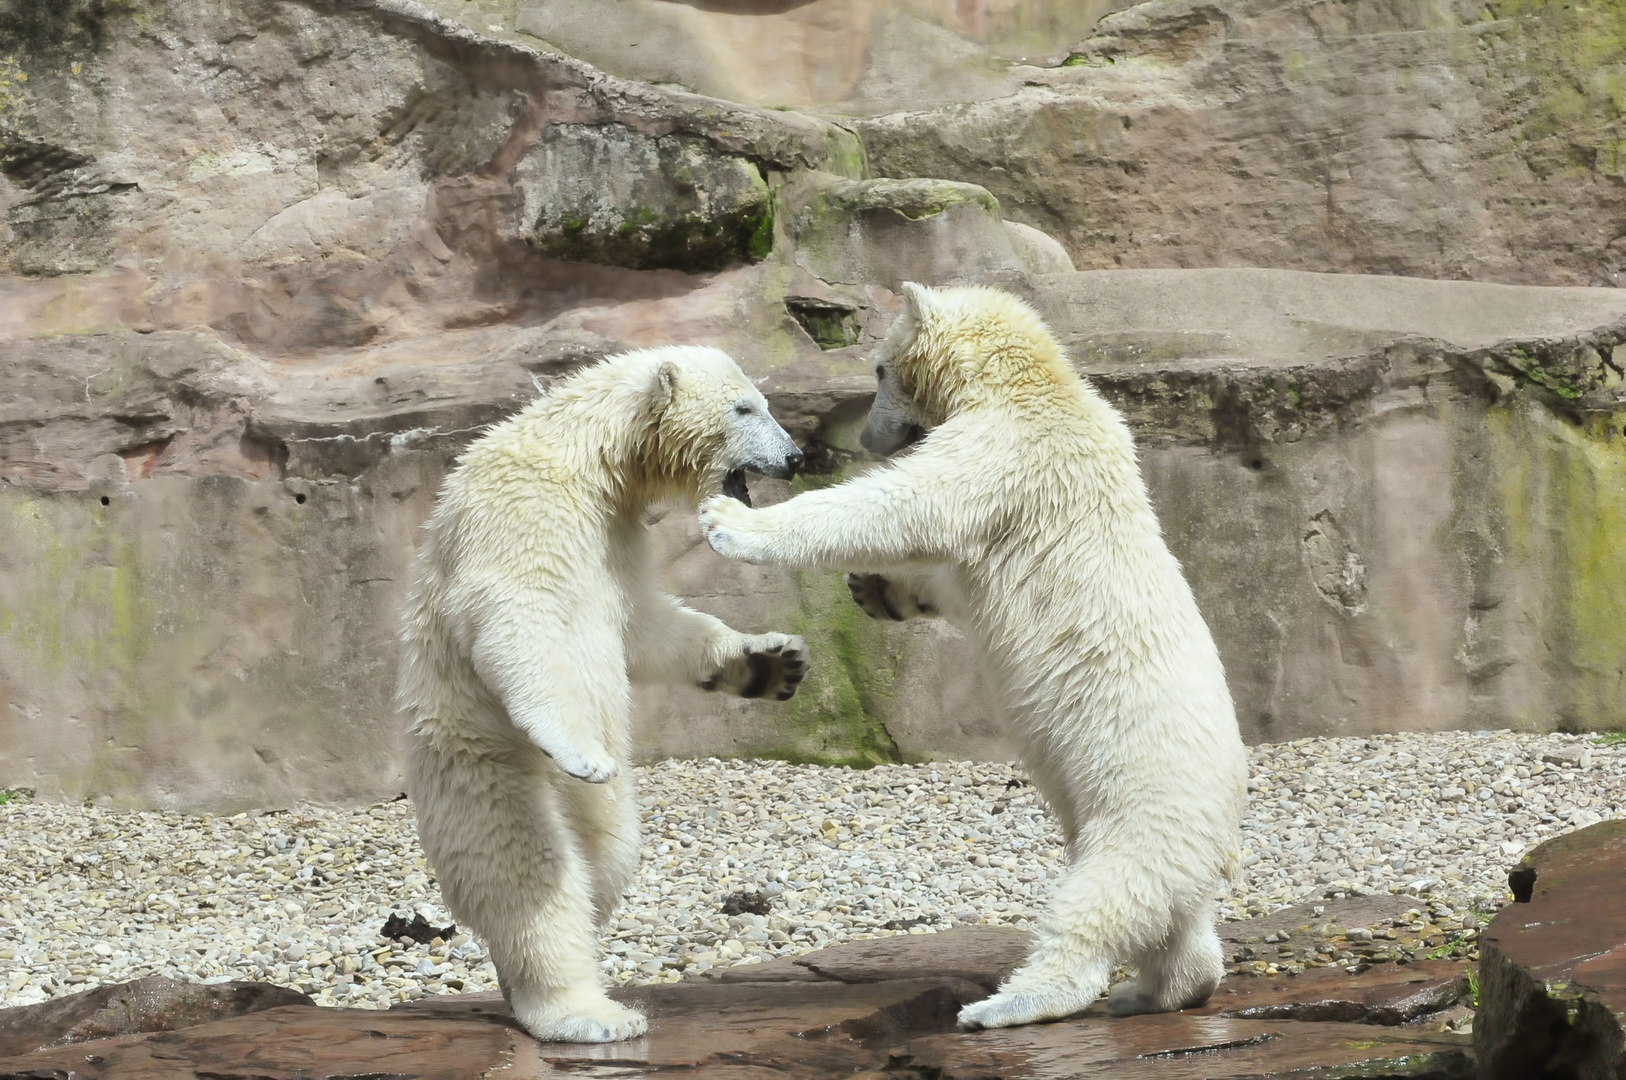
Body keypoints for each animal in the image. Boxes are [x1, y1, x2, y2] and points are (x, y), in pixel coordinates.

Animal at [398, 346, 813, 1040]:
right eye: (745, 407)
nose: (796, 456)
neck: (590, 459)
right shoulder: (520, 507)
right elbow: (517, 614)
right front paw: (581, 752)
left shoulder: (618, 534)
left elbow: (644, 627)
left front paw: (771, 661)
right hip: (471, 752)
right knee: (524, 866)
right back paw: (582, 1012)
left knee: (608, 855)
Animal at [699, 283, 1242, 1027]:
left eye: (878, 369)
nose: (864, 436)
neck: (1038, 387)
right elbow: (948, 578)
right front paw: (877, 591)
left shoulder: (1006, 452)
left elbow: (903, 505)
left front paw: (734, 523)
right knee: (1174, 916)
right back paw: (1166, 988)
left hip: (1146, 794)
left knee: (1109, 891)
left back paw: (1011, 1002)